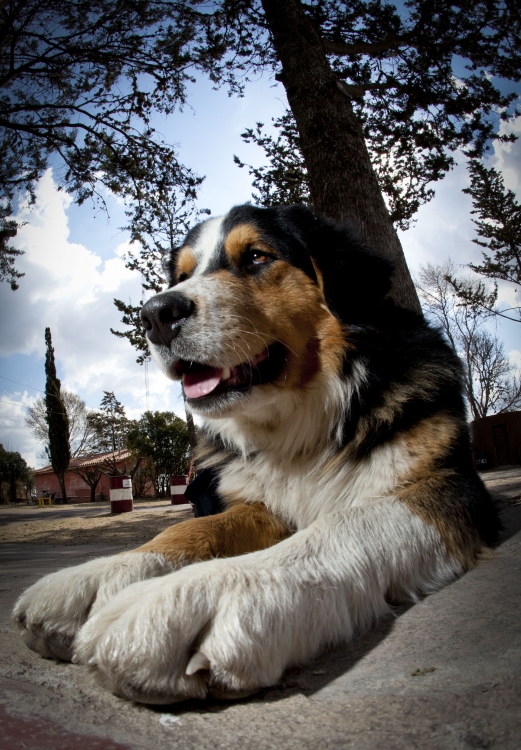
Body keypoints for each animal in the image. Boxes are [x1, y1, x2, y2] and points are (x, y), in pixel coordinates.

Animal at [14, 204, 498, 704]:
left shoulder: (446, 486)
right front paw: (99, 577)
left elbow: (343, 524)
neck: (302, 425)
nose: (155, 314)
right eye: (182, 275)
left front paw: (197, 594)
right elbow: (191, 530)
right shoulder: (261, 505)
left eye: (257, 257)